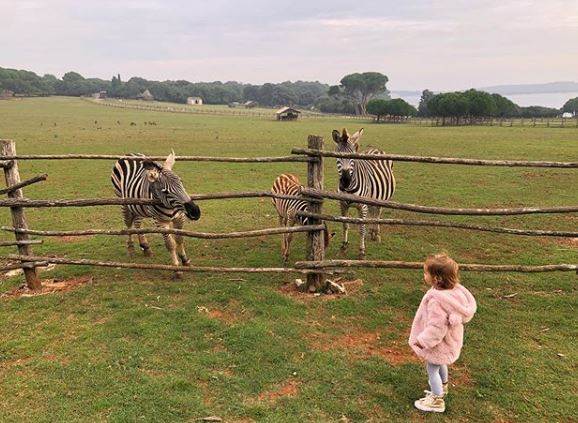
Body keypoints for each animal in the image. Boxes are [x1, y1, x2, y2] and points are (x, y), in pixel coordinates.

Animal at [330, 127, 394, 256]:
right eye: (338, 156)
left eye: (353, 156)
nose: (345, 181)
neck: (349, 189)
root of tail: (376, 149)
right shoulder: (343, 204)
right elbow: (345, 225)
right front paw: (344, 245)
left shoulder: (362, 207)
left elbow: (361, 229)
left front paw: (362, 250)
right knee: (373, 212)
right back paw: (372, 233)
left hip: (382, 198)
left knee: (377, 213)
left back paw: (376, 233)